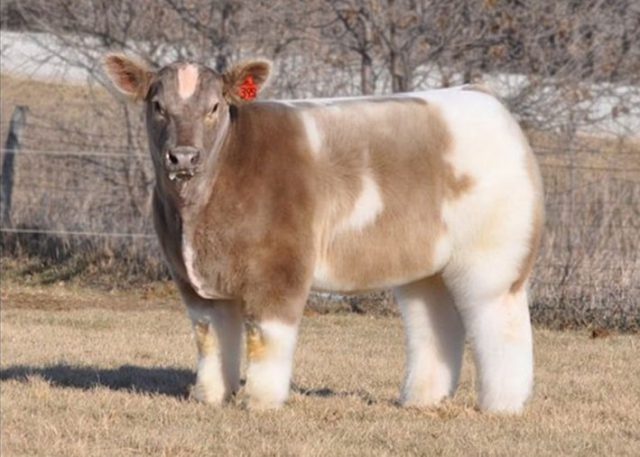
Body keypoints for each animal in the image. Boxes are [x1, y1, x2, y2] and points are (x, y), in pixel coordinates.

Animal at [103, 54, 543, 413]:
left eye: (214, 107)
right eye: (158, 106)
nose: (183, 157)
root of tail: (482, 96)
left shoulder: (280, 268)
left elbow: (266, 338)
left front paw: (259, 402)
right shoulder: (191, 280)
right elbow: (210, 339)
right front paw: (210, 397)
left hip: (494, 260)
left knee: (499, 325)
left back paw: (502, 405)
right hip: (427, 266)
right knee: (434, 323)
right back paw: (421, 399)